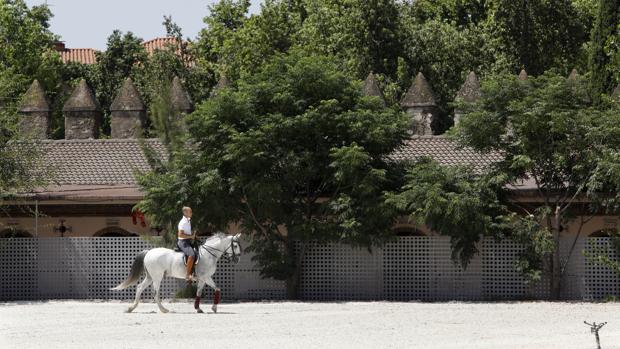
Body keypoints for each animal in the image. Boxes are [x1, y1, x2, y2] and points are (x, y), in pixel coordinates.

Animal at [112, 232, 241, 312]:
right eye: (235, 245)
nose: (237, 259)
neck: (208, 254)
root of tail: (149, 252)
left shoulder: (203, 279)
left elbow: (199, 293)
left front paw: (198, 308)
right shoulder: (206, 277)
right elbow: (217, 289)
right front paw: (214, 308)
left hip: (150, 277)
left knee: (139, 288)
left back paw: (131, 308)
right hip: (157, 277)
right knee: (155, 293)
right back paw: (164, 310)